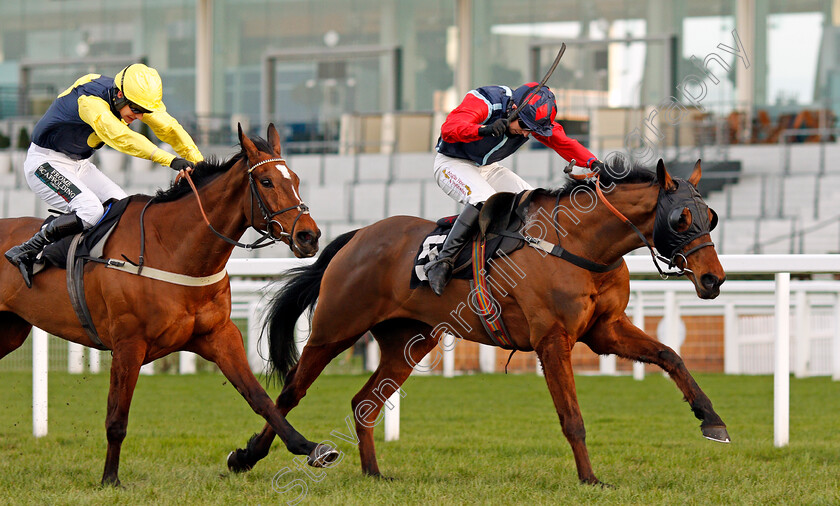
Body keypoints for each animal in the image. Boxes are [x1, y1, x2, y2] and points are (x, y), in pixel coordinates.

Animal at [2, 123, 338, 486]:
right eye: (266, 181)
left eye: (296, 179)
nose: (309, 236)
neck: (173, 249)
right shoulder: (129, 344)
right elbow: (117, 418)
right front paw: (110, 480)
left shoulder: (219, 335)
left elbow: (260, 398)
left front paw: (306, 448)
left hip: (11, 331)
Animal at [228, 159, 728, 486]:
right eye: (681, 217)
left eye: (711, 217)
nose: (713, 279)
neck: (581, 243)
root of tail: (356, 236)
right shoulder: (553, 339)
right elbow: (572, 417)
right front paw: (590, 479)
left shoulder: (604, 330)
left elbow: (670, 355)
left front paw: (712, 420)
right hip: (335, 329)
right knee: (289, 393)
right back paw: (249, 457)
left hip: (409, 342)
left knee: (364, 402)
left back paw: (373, 474)